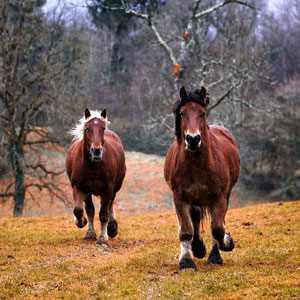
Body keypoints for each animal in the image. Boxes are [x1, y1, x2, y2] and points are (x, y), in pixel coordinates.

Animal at [65, 108, 125, 246]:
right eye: (87, 128)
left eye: (102, 128)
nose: (96, 151)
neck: (93, 167)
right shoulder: (79, 188)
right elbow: (79, 210)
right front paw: (82, 223)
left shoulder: (107, 189)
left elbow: (103, 214)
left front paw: (103, 238)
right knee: (90, 209)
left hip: (114, 188)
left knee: (110, 204)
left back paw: (112, 228)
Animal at [165, 87, 240, 272]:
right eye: (182, 113)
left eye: (203, 113)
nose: (193, 139)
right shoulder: (180, 197)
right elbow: (186, 230)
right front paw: (187, 261)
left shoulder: (219, 197)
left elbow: (218, 228)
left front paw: (226, 244)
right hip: (195, 199)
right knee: (196, 219)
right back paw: (198, 248)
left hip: (224, 196)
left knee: (216, 222)